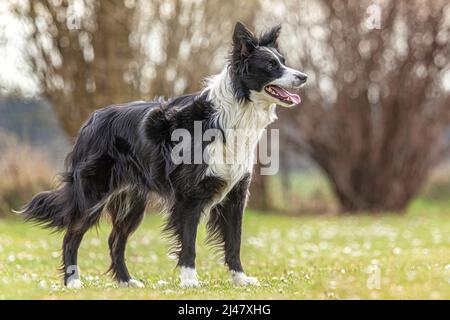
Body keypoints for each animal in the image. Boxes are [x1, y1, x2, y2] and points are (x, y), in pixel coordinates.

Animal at [20, 21, 306, 288]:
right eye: (271, 65)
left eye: (283, 62)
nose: (304, 77)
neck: (236, 111)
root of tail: (91, 120)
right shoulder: (190, 196)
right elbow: (189, 242)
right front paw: (190, 280)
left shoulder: (236, 195)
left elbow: (234, 241)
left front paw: (240, 279)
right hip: (93, 194)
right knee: (72, 235)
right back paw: (73, 282)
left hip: (133, 201)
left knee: (115, 240)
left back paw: (126, 281)